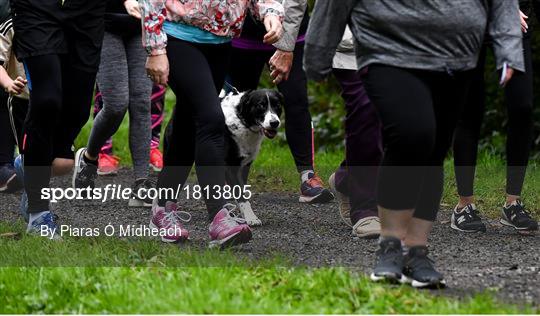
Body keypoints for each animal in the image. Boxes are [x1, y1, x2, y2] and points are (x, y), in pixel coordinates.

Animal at [221, 89, 284, 226]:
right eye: (261, 105)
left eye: (277, 105)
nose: (274, 123)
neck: (242, 122)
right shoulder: (230, 167)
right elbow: (240, 194)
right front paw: (251, 217)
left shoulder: (244, 167)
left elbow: (243, 192)